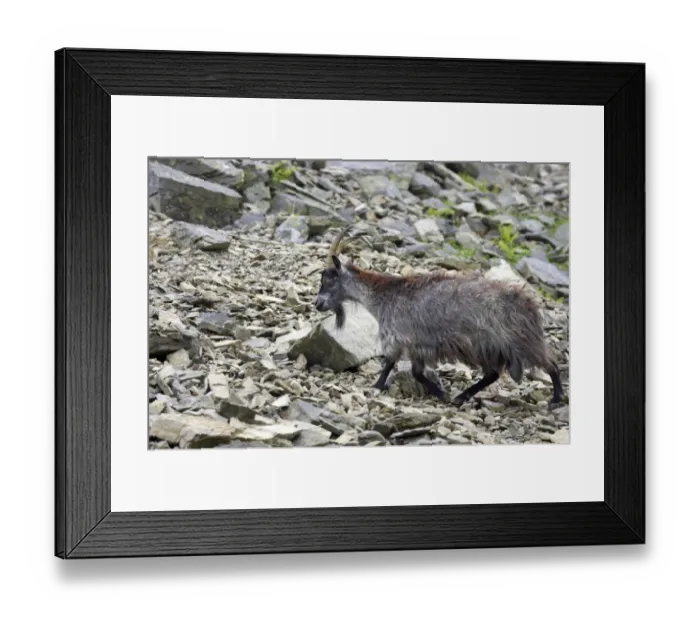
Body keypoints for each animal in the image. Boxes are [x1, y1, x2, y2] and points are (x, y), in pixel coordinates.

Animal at [314, 224, 565, 408]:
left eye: (329, 278)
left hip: (516, 341)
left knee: (550, 362)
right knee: (492, 374)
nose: (317, 304)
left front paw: (376, 386)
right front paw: (442, 394)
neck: (384, 295)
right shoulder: (419, 345)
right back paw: (461, 397)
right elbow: (416, 373)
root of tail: (530, 306)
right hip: (491, 347)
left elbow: (389, 363)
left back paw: (556, 399)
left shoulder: (397, 335)